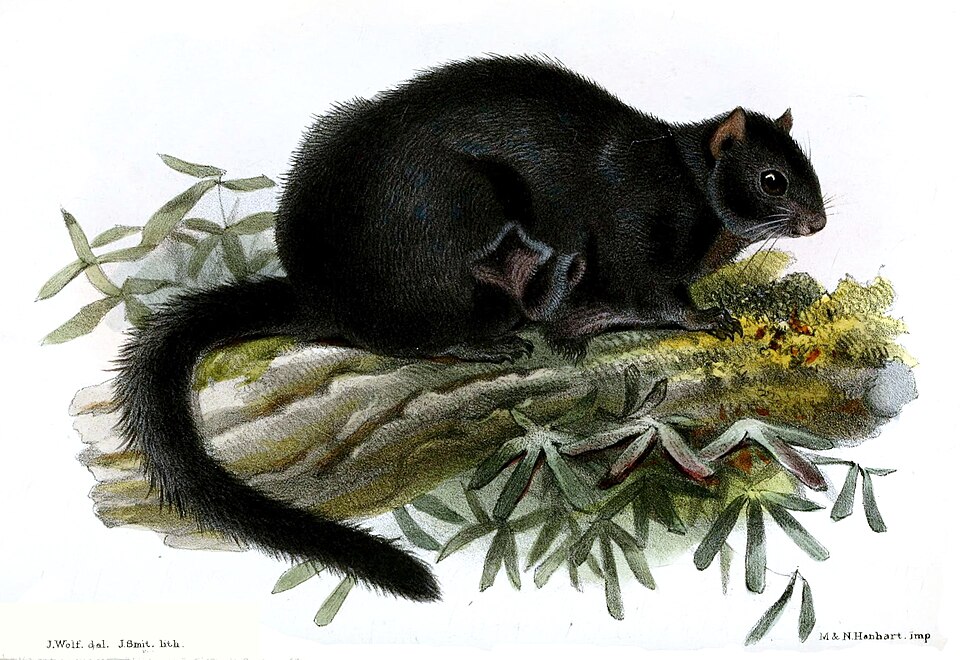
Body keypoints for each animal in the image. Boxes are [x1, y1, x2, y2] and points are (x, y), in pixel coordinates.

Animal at [114, 56, 826, 603]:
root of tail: (325, 298)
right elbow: (658, 293)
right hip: (459, 221)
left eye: (808, 168)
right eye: (772, 179)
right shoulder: (634, 240)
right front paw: (704, 315)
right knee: (411, 339)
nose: (818, 221)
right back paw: (492, 338)